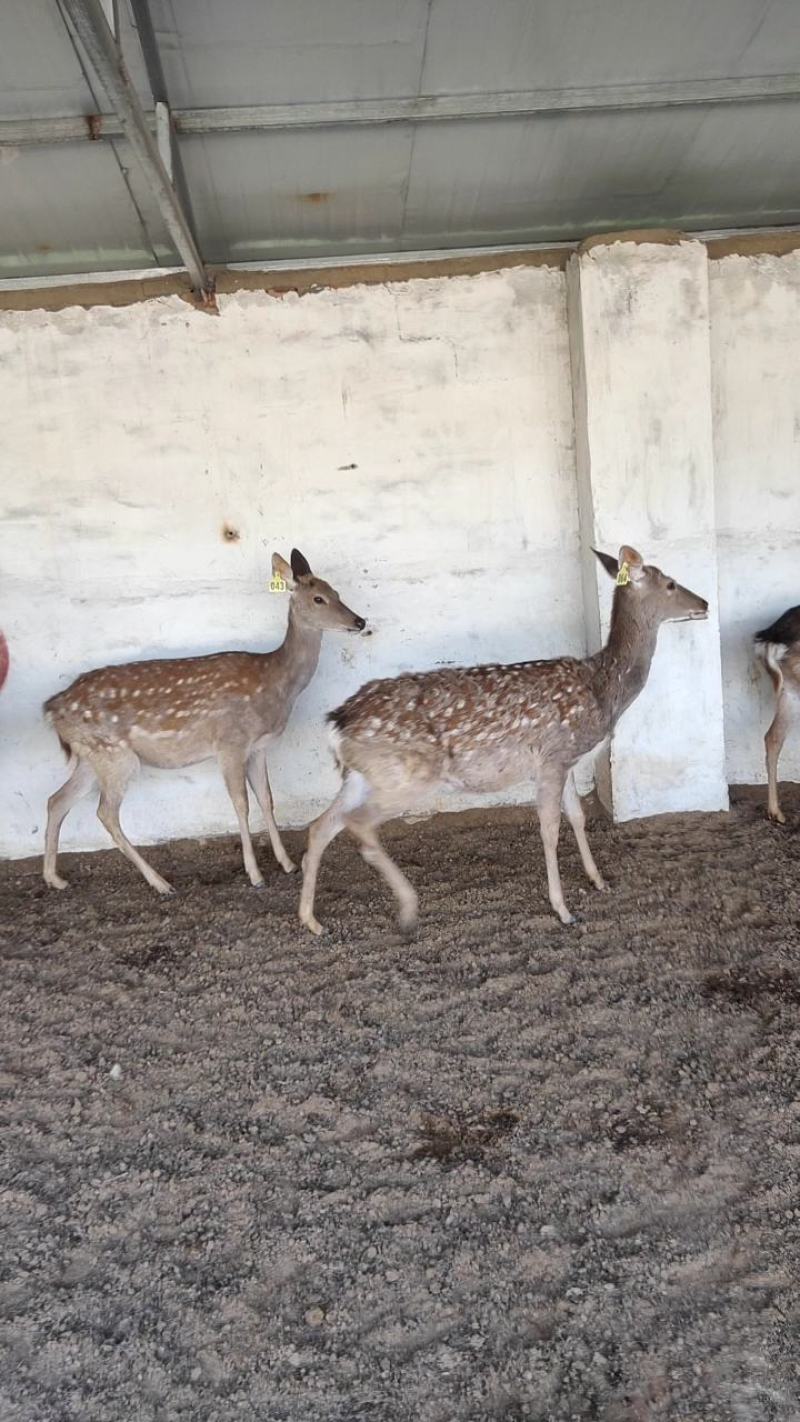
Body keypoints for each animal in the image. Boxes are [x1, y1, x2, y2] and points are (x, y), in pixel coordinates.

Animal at [43, 549, 367, 896]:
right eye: (319, 598)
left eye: (337, 592)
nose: (359, 621)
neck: (276, 685)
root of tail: (52, 707)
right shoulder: (229, 744)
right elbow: (241, 804)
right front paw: (255, 874)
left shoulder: (258, 747)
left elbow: (267, 799)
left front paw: (288, 863)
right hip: (116, 755)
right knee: (105, 813)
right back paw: (160, 882)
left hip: (92, 757)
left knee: (57, 800)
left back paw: (55, 878)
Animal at [299, 545, 708, 935]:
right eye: (670, 584)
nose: (704, 603)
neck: (603, 690)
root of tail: (336, 723)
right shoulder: (554, 756)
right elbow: (549, 829)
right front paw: (563, 910)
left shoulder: (565, 759)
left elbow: (576, 817)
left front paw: (598, 880)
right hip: (406, 775)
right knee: (358, 824)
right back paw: (409, 908)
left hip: (361, 775)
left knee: (322, 825)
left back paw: (312, 920)